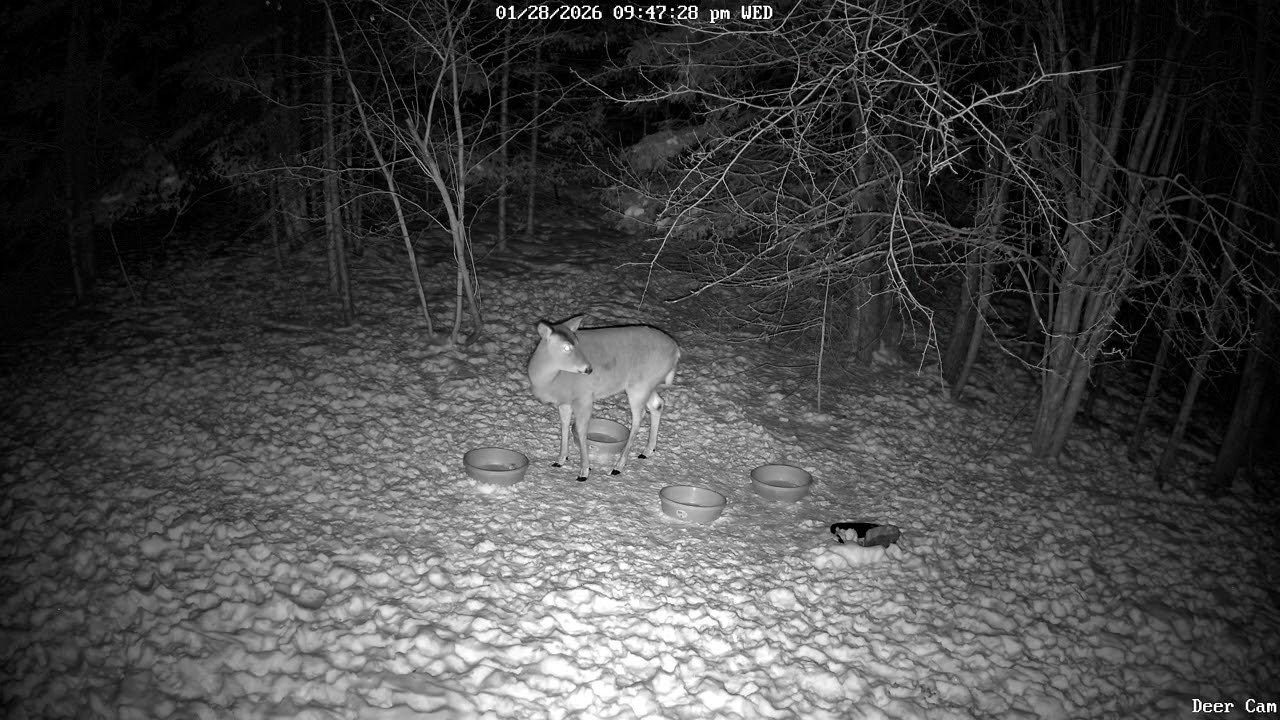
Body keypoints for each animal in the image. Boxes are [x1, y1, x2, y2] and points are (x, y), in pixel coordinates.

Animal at [527, 316, 680, 482]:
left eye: (578, 342)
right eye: (566, 347)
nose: (589, 369)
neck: (552, 378)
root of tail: (676, 352)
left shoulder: (584, 396)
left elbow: (581, 430)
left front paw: (584, 472)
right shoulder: (565, 400)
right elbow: (564, 425)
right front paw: (560, 460)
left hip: (640, 386)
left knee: (638, 418)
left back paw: (618, 467)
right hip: (647, 384)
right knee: (657, 404)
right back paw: (647, 451)